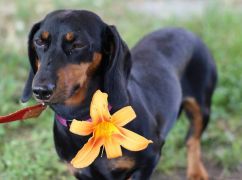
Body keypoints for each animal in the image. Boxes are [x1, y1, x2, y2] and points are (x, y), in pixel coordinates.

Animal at [21, 9, 217, 180]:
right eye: (39, 41)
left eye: (78, 45)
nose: (41, 90)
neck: (88, 119)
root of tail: (184, 30)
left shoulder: (149, 160)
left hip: (203, 108)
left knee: (192, 139)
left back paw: (196, 172)